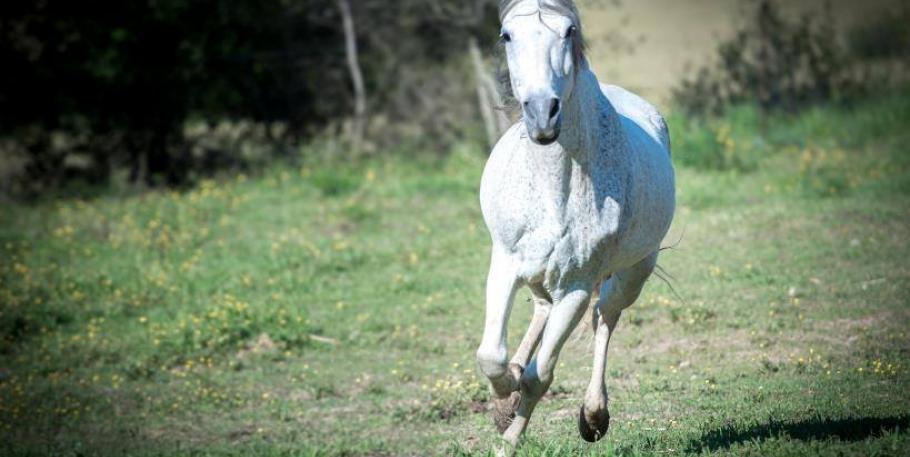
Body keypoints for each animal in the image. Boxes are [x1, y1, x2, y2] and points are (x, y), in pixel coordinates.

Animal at [478, 0, 676, 448]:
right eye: (506, 35)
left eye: (568, 32)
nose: (542, 114)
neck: (555, 187)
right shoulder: (504, 264)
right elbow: (491, 356)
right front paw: (503, 400)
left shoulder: (577, 287)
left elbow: (540, 378)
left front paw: (511, 434)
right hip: (537, 272)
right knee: (541, 308)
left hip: (633, 272)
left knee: (606, 316)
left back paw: (594, 415)